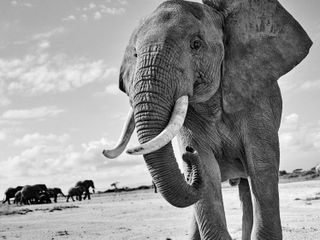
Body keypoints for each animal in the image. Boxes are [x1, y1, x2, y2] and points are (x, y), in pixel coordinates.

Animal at [103, 0, 312, 239]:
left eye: (196, 44)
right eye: (136, 55)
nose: (187, 154)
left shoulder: (256, 100)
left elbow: (262, 165)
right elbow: (207, 171)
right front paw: (198, 156)